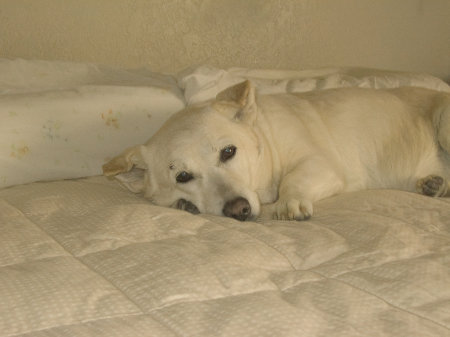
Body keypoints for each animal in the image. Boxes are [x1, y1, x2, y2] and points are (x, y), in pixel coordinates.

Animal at [103, 81, 450, 220]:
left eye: (228, 152)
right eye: (183, 176)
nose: (239, 210)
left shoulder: (321, 165)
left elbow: (292, 182)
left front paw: (289, 203)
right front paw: (184, 205)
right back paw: (433, 185)